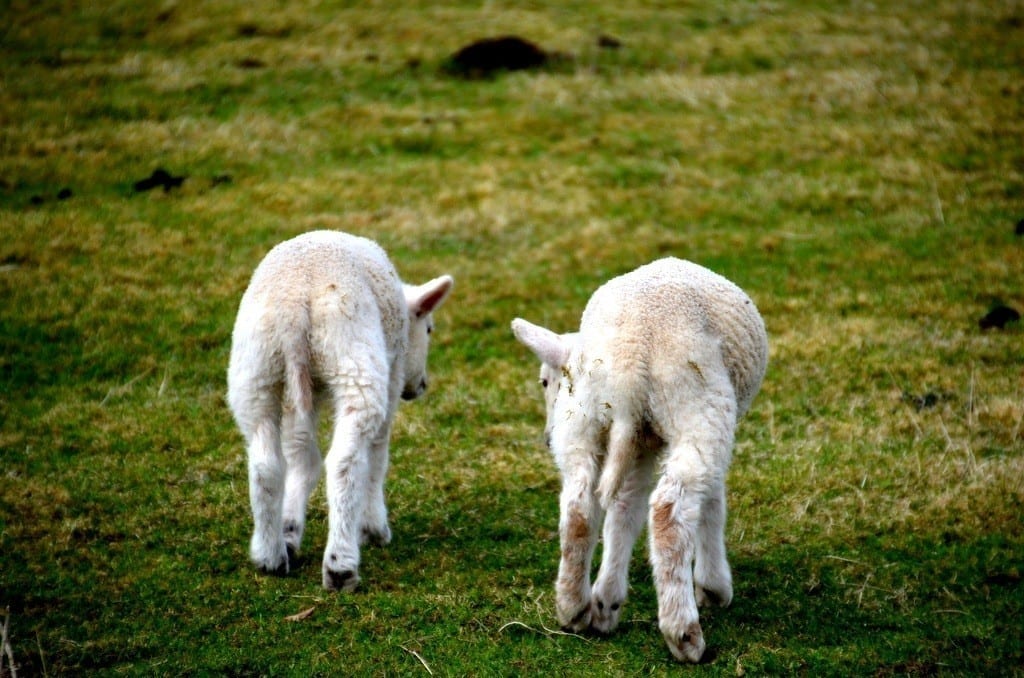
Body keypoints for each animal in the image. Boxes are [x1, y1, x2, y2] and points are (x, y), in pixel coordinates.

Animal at [227, 230, 453, 591]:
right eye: (429, 329)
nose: (421, 386)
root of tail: (295, 302)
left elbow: (300, 456)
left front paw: (290, 530)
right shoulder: (392, 374)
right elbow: (378, 455)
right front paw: (374, 529)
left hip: (256, 369)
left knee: (267, 464)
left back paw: (271, 555)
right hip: (354, 358)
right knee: (344, 463)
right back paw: (340, 566)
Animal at [511, 257, 767, 663]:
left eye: (545, 381)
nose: (547, 437)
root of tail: (629, 360)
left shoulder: (638, 439)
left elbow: (623, 509)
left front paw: (606, 601)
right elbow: (712, 501)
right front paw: (713, 587)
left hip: (584, 419)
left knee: (580, 505)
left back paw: (575, 607)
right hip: (699, 405)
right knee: (668, 510)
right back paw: (684, 632)